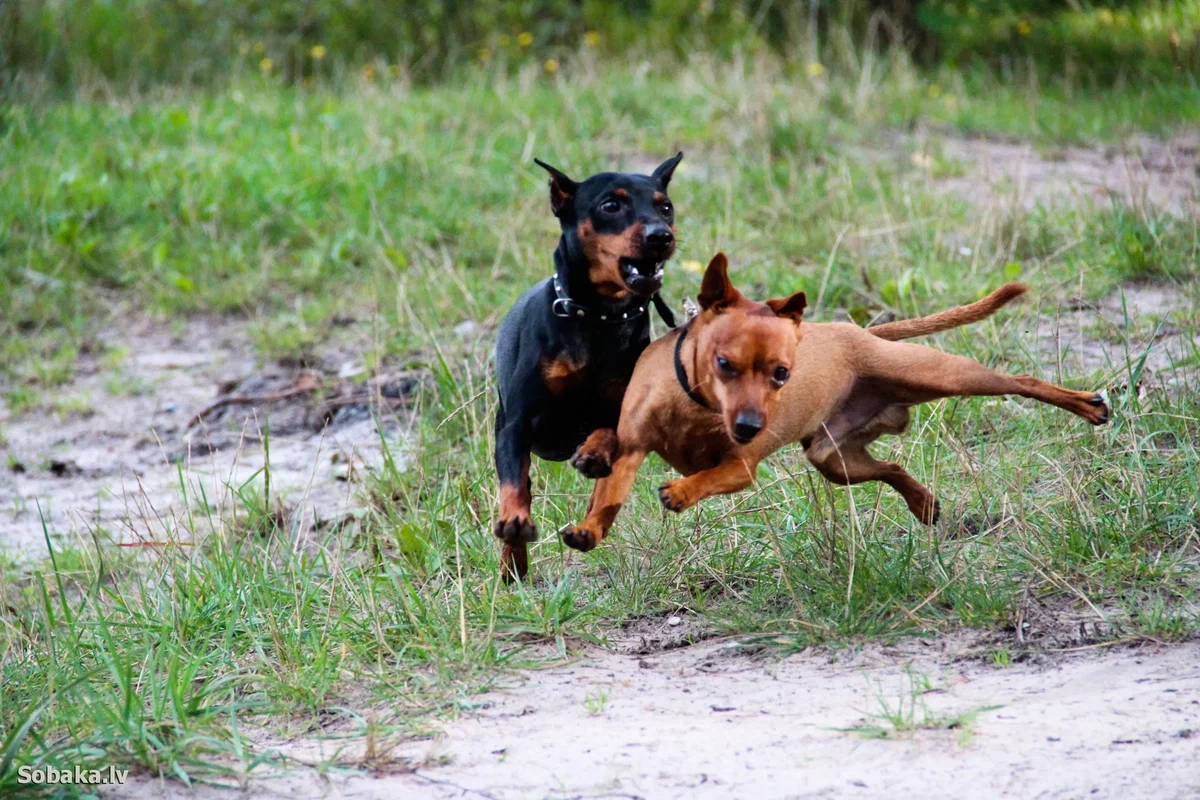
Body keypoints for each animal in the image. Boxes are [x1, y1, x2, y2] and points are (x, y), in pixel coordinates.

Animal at [492, 154, 686, 582]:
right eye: (610, 205)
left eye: (665, 207)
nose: (661, 236)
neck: (599, 318)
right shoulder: (517, 425)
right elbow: (513, 483)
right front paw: (514, 522)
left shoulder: (623, 414)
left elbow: (607, 433)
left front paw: (593, 453)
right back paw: (513, 559)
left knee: (604, 494)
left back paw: (588, 528)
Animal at [556, 251, 1108, 551]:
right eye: (724, 364)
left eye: (782, 374)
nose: (752, 426)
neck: (694, 405)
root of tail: (861, 334)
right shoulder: (631, 450)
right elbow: (607, 498)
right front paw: (589, 528)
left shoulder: (740, 468)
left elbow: (706, 477)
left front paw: (682, 491)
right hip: (834, 460)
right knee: (892, 468)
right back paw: (923, 503)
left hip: (943, 375)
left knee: (1021, 379)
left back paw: (1086, 404)